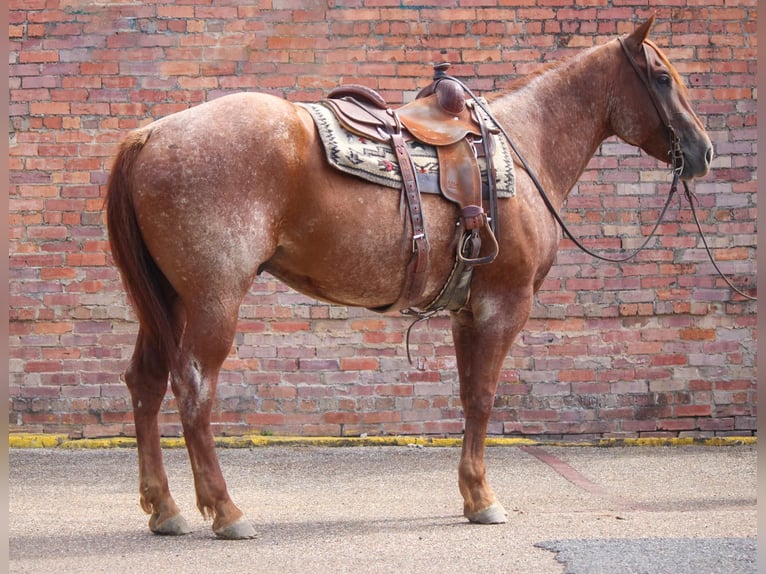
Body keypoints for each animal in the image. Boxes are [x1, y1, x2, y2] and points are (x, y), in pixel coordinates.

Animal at [106, 18, 712, 540]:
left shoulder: (468, 311)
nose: (703, 150)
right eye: (662, 78)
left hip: (168, 300)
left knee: (145, 384)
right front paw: (484, 499)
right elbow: (485, 397)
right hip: (213, 299)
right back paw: (227, 511)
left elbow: (469, 397)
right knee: (193, 389)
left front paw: (471, 495)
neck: (523, 146)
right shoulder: (504, 304)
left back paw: (165, 509)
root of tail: (150, 134)